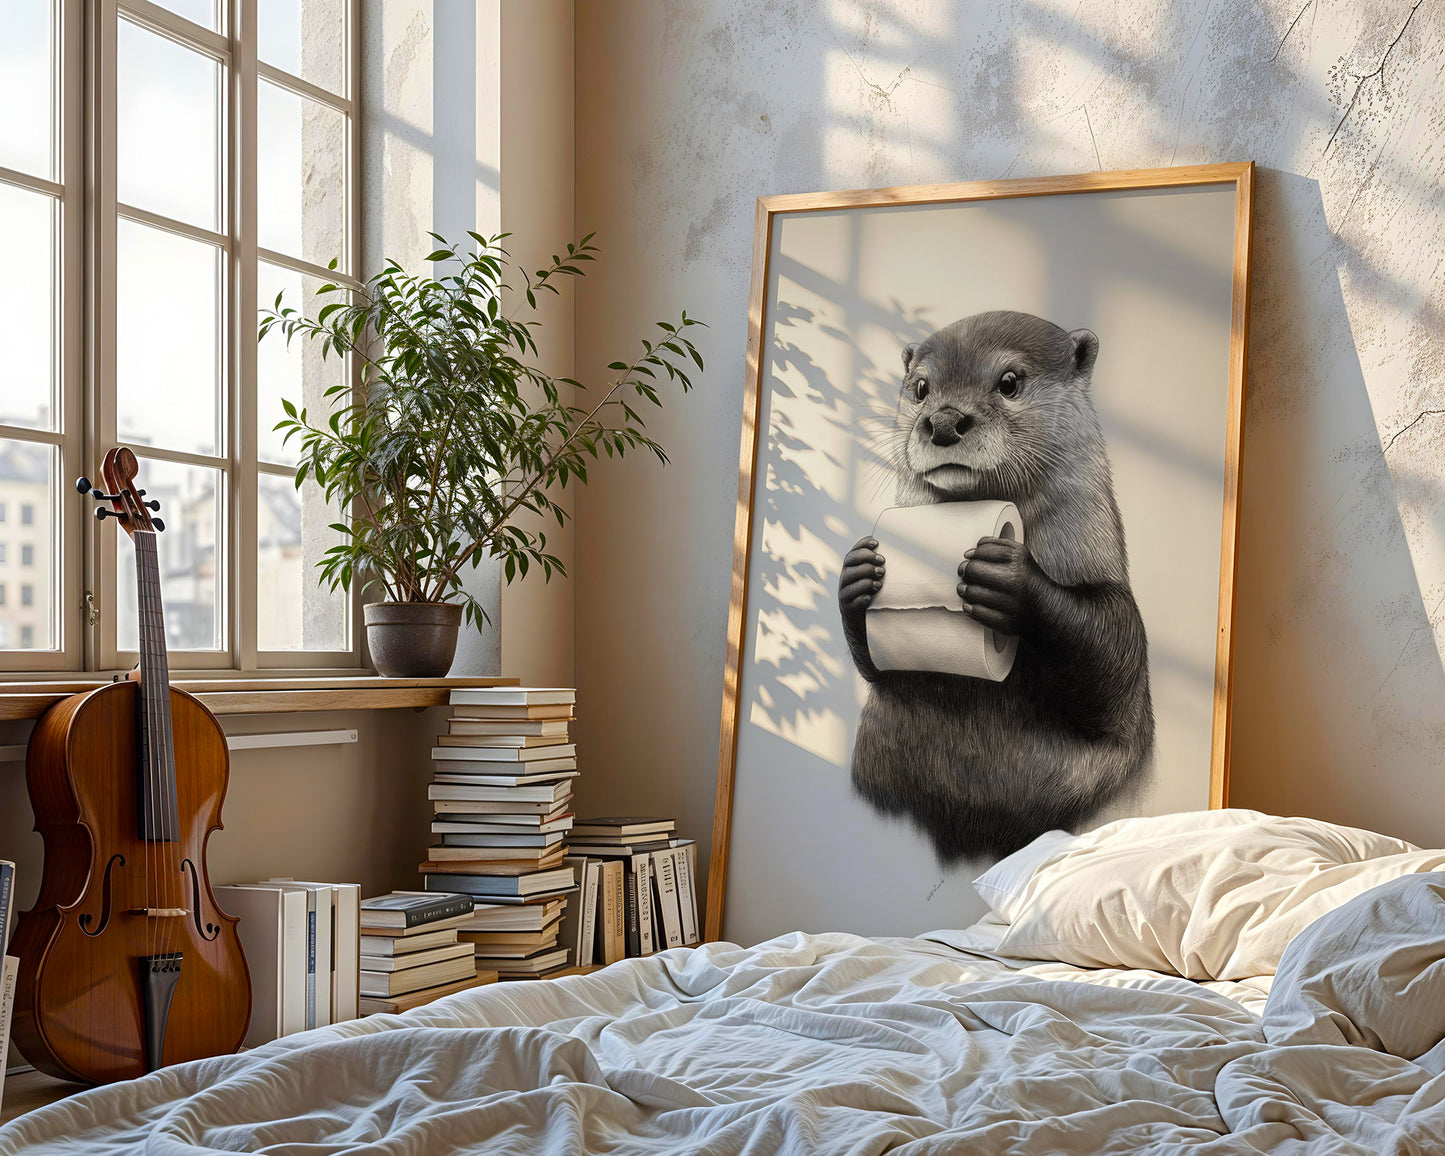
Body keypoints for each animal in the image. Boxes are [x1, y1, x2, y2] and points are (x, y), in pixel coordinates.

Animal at [837, 310, 1153, 862]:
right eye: (921, 388)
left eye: (1009, 382)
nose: (944, 421)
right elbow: (877, 668)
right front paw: (855, 573)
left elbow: (1116, 667)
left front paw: (1009, 578)